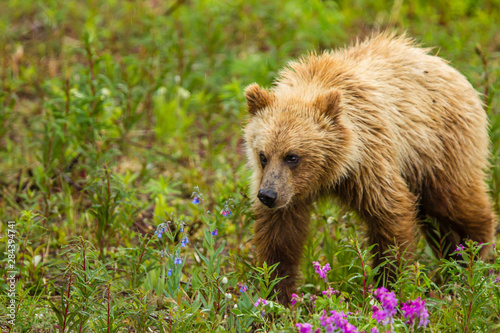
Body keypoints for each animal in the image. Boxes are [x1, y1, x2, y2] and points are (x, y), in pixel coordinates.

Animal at [242, 33, 496, 304]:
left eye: (292, 156)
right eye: (263, 155)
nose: (268, 195)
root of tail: (447, 65)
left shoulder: (369, 163)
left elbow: (390, 216)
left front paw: (390, 285)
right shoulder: (289, 192)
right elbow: (279, 238)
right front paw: (276, 294)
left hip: (439, 151)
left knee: (456, 200)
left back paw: (471, 259)